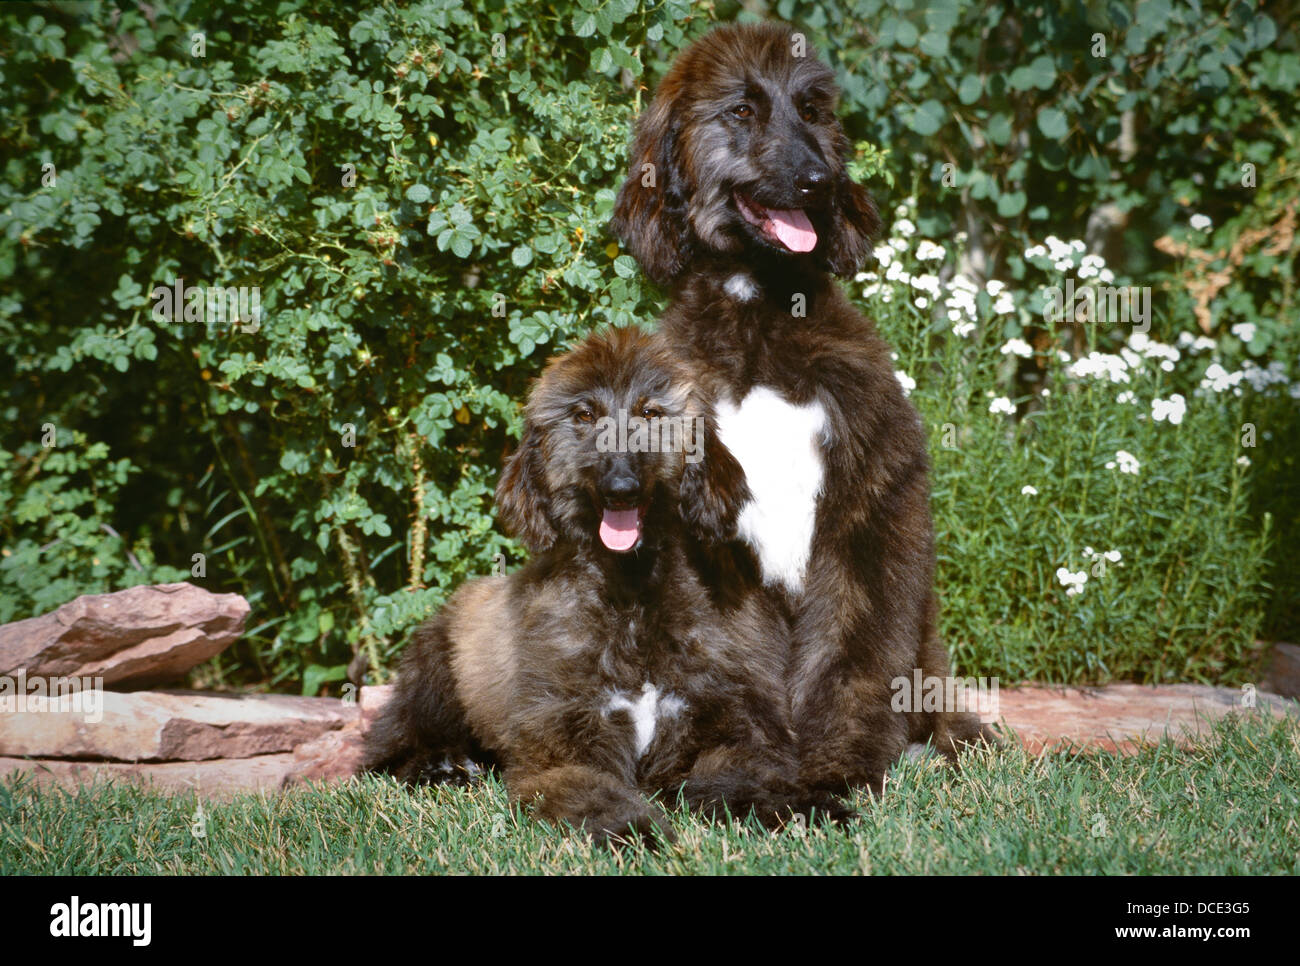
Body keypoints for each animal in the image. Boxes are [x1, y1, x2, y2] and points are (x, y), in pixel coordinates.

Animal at [364, 328, 842, 842]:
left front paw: (805, 808)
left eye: (651, 412)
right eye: (584, 415)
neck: (633, 596)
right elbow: (589, 790)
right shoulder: (562, 743)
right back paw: (440, 767)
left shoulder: (730, 724)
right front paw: (637, 830)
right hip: (436, 672)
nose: (621, 488)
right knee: (384, 752)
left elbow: (748, 775)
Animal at [605, 22, 982, 795]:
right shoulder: (715, 550)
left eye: (811, 109)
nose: (819, 182)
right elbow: (740, 668)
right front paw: (749, 769)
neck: (757, 316)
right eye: (742, 111)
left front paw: (837, 768)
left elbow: (850, 657)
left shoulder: (863, 512)